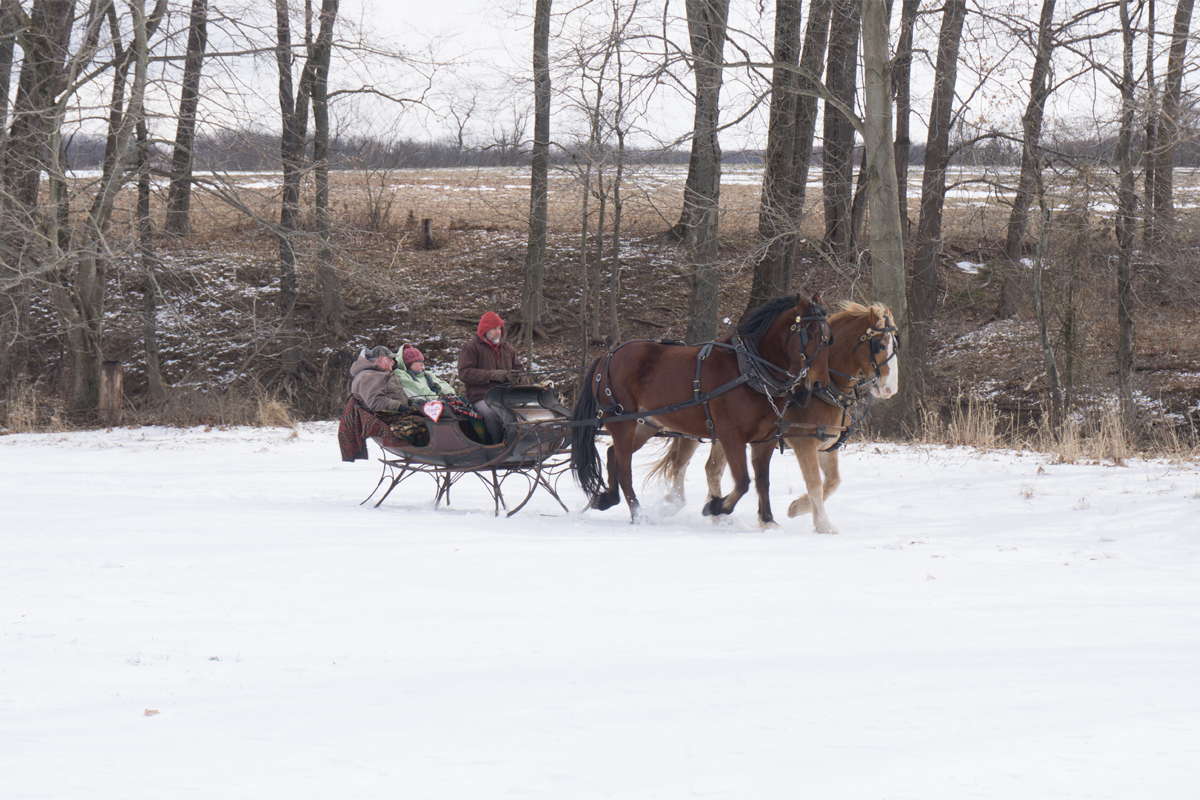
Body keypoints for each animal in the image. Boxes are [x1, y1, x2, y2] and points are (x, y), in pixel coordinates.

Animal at [571, 293, 835, 525]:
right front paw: (715, 506)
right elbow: (743, 482)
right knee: (624, 468)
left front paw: (768, 521)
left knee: (612, 455)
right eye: (810, 335)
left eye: (828, 338)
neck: (750, 369)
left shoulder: (765, 439)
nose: (820, 383)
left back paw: (607, 499)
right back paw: (638, 515)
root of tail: (607, 356)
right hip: (622, 422)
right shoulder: (731, 436)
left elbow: (762, 481)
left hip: (645, 425)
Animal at [648, 299, 902, 532]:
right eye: (880, 345)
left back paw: (716, 514)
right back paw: (678, 503)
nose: (890, 389)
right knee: (681, 463)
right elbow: (815, 483)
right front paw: (822, 524)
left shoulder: (827, 446)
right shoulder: (804, 444)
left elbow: (832, 482)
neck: (824, 390)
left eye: (895, 345)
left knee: (712, 469)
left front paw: (798, 507)